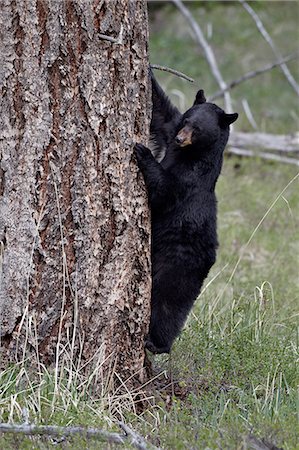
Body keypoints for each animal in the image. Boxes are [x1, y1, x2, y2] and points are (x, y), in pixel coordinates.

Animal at [136, 74, 239, 356]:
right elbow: (160, 112)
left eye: (198, 129)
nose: (181, 139)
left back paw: (157, 343)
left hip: (179, 265)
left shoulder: (191, 179)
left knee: (169, 304)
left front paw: (143, 152)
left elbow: (164, 190)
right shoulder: (169, 131)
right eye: (186, 121)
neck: (189, 154)